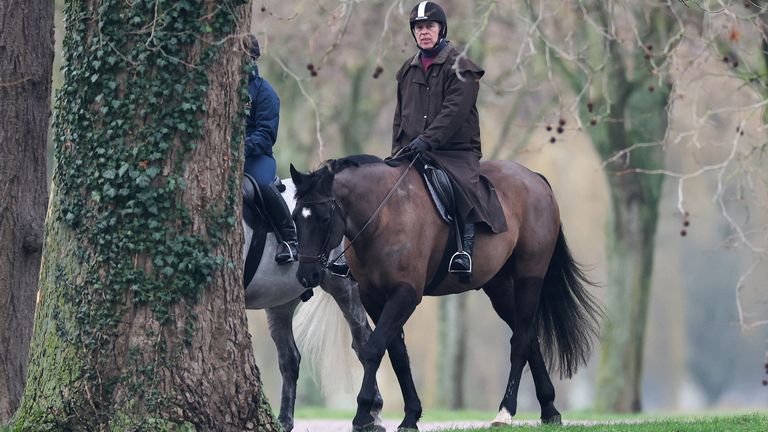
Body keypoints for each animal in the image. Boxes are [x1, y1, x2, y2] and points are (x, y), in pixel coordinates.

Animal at [241, 177, 384, 432]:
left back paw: (371, 415)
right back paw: (284, 421)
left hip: (345, 288)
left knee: (363, 342)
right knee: (290, 358)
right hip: (280, 302)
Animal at [289, 155, 603, 431]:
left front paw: (363, 415)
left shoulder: (405, 294)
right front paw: (410, 416)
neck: (384, 216)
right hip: (500, 287)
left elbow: (374, 348)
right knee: (530, 338)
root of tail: (534, 178)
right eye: (294, 217)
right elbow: (397, 353)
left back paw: (505, 412)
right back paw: (549, 410)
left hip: (530, 277)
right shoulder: (373, 298)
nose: (306, 275)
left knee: (521, 340)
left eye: (323, 217)